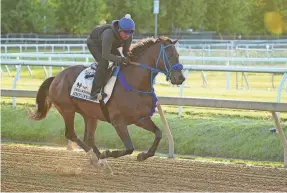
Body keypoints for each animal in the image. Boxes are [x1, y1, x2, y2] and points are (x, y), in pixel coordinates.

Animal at [29, 35, 186, 169]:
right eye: (170, 56)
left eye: (178, 55)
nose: (181, 78)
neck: (135, 84)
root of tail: (56, 77)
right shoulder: (118, 121)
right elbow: (129, 148)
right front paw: (108, 153)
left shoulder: (140, 119)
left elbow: (158, 133)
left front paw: (143, 155)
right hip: (67, 110)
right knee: (71, 134)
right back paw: (96, 158)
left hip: (90, 115)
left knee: (89, 138)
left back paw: (101, 161)